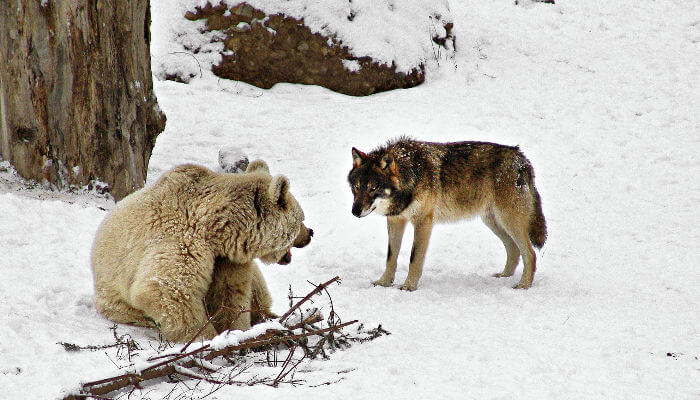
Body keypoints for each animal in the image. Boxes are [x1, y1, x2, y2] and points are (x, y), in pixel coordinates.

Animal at [89, 161, 312, 342]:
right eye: (301, 218)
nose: (309, 233)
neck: (218, 231)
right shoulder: (183, 242)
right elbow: (167, 289)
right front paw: (206, 337)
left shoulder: (227, 260)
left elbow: (230, 295)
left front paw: (235, 331)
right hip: (118, 303)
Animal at [348, 138, 548, 290]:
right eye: (357, 187)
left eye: (373, 188)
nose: (354, 212)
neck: (410, 174)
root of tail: (522, 159)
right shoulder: (395, 220)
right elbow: (391, 257)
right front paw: (384, 282)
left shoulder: (423, 222)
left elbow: (414, 258)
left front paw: (409, 286)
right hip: (494, 222)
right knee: (514, 249)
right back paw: (504, 276)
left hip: (509, 220)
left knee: (530, 253)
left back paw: (523, 285)